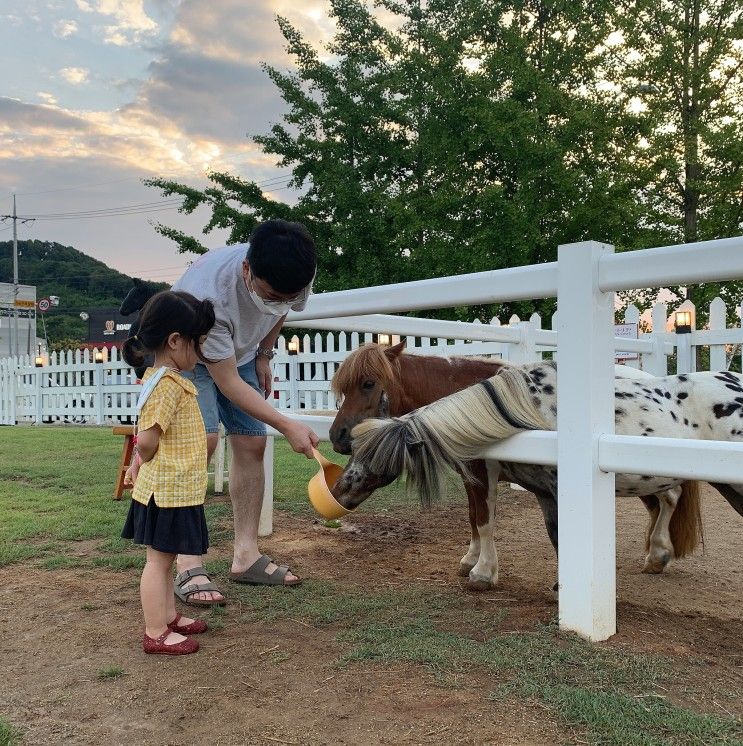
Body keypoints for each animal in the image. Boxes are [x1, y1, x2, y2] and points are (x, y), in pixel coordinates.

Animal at [332, 340, 704, 588]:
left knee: (668, 499)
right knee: (666, 500)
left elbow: (484, 519)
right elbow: (474, 517)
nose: (338, 436)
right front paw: (471, 559)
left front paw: (483, 571)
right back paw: (657, 554)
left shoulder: (482, 470)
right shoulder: (472, 474)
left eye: (368, 383)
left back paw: (658, 553)